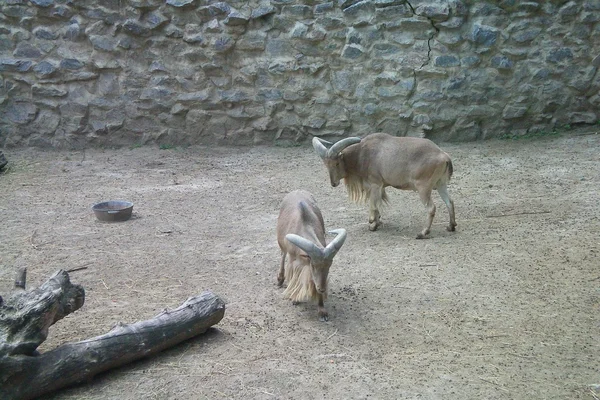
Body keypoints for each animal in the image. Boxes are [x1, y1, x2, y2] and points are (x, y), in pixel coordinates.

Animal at [276, 188, 346, 322]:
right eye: (314, 265)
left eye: (329, 266)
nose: (322, 288)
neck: (304, 224)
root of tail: (296, 190)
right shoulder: (295, 262)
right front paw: (295, 299)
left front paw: (322, 311)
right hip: (281, 243)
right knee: (282, 254)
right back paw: (280, 279)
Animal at [312, 133, 458, 239]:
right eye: (326, 164)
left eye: (336, 163)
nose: (333, 183)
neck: (361, 154)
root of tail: (444, 156)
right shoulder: (380, 186)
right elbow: (377, 205)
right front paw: (377, 223)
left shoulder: (375, 184)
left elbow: (373, 206)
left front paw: (372, 224)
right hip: (441, 184)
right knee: (450, 202)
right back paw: (451, 226)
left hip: (423, 188)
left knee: (431, 208)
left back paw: (422, 233)